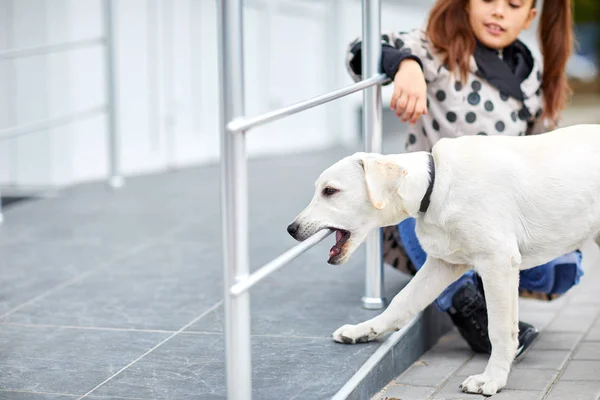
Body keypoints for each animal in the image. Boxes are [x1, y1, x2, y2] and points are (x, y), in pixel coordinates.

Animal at [284, 123, 600, 396]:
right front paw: (365, 330)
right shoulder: (444, 263)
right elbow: (402, 302)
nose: (291, 229)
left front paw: (492, 379)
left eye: (330, 191)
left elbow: (498, 329)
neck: (434, 185)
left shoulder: (498, 262)